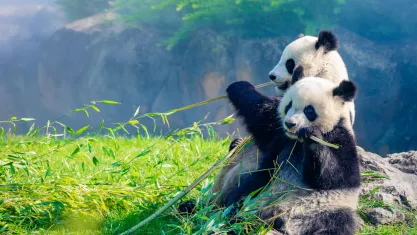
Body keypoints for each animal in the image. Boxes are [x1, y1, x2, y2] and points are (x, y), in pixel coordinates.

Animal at [260, 76, 360, 234]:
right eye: (289, 105)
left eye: (309, 110)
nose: (290, 124)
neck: (298, 141)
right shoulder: (282, 142)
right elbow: (263, 171)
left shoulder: (342, 138)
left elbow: (336, 176)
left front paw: (312, 136)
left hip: (328, 209)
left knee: (339, 223)